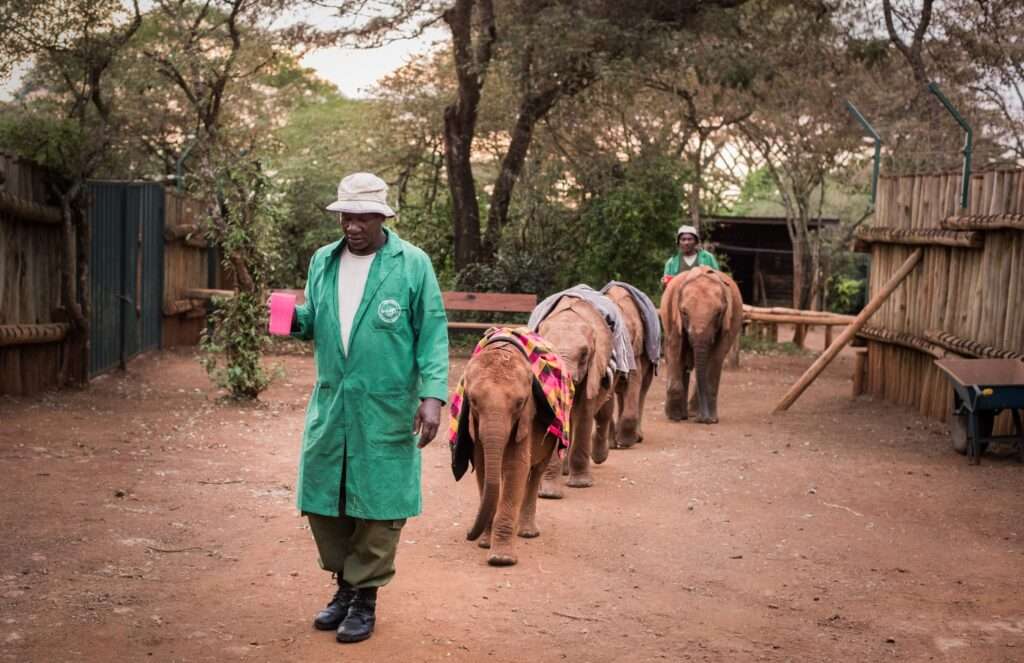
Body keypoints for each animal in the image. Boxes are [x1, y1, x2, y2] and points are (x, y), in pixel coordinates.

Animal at [456, 342, 561, 565]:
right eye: (473, 401)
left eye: (520, 403)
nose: (469, 534)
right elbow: (483, 468)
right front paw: (486, 544)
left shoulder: (526, 417)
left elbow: (516, 467)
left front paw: (501, 559)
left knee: (537, 471)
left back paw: (527, 532)